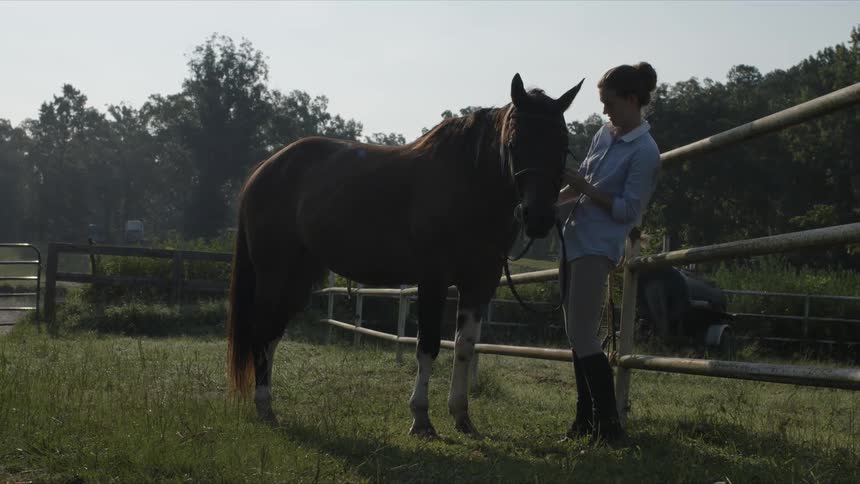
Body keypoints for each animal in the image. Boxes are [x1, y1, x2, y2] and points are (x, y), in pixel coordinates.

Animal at [227, 73, 584, 437]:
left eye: (563, 145)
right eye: (514, 143)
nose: (537, 217)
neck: (468, 184)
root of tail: (267, 168)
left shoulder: (479, 283)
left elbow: (464, 348)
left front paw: (461, 416)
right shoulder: (433, 279)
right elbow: (427, 346)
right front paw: (421, 419)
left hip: (299, 276)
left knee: (272, 334)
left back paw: (267, 405)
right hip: (274, 272)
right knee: (261, 330)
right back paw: (264, 407)